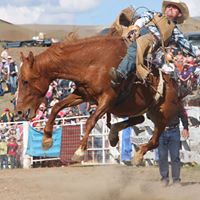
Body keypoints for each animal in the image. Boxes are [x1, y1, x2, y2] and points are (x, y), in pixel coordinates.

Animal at [16, 35, 180, 164]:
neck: (92, 64)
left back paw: (138, 154)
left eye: (25, 81)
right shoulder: (82, 95)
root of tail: (176, 86)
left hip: (161, 116)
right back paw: (113, 135)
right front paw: (46, 139)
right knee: (139, 119)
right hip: (136, 109)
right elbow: (56, 107)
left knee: (155, 140)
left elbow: (90, 121)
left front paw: (79, 152)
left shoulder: (108, 99)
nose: (20, 111)